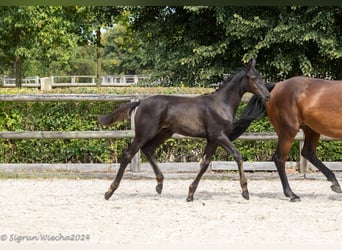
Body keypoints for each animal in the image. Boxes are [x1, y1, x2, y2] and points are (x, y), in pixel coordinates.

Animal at [98, 59, 270, 202]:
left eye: (261, 77)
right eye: (253, 78)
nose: (267, 96)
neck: (221, 104)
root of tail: (141, 102)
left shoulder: (212, 139)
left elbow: (205, 163)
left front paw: (190, 193)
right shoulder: (219, 135)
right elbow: (237, 156)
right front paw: (245, 191)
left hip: (164, 133)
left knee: (148, 149)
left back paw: (159, 185)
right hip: (143, 134)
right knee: (128, 155)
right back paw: (109, 191)